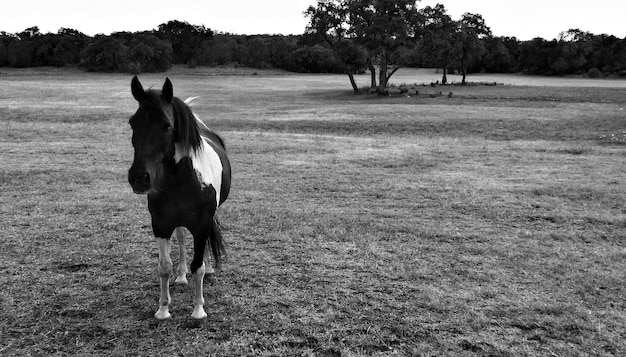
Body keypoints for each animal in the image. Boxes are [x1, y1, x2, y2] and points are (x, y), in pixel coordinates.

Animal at [125, 76, 230, 320]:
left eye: (166, 125)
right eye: (133, 123)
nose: (139, 178)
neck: (181, 180)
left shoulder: (201, 224)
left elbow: (198, 266)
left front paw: (198, 310)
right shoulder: (160, 225)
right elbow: (164, 267)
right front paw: (163, 310)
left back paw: (209, 269)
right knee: (181, 239)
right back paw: (181, 277)